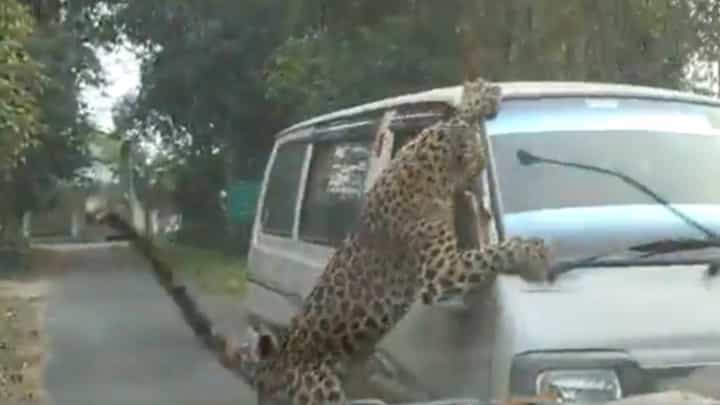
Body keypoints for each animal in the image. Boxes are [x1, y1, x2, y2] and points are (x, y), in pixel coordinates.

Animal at [91, 76, 551, 405]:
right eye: (480, 158)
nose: (479, 166)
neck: (425, 166)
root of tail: (272, 363)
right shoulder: (441, 273)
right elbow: (492, 250)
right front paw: (535, 252)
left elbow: (452, 119)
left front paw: (478, 94)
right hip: (321, 389)